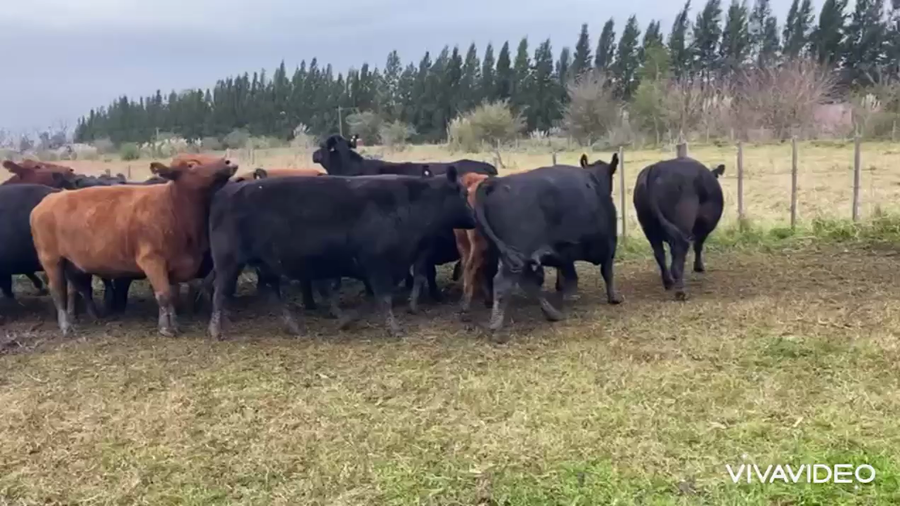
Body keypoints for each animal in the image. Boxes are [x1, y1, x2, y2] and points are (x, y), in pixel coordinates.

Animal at [30, 158, 237, 336]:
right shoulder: (152, 260)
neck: (171, 205)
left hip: (71, 263)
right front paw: (166, 329)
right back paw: (66, 326)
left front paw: (174, 323)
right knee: (58, 291)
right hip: (51, 259)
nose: (228, 162)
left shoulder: (172, 264)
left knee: (75, 289)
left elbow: (172, 295)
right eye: (192, 164)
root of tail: (47, 201)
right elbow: (163, 295)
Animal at [206, 169, 475, 340]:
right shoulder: (378, 265)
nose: (474, 218)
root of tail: (226, 191)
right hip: (229, 262)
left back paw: (294, 327)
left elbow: (374, 299)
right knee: (220, 293)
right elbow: (383, 298)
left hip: (266, 264)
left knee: (271, 292)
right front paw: (394, 329)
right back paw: (216, 331)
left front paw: (347, 319)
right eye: (463, 194)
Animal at [473, 154, 623, 333]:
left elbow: (570, 273)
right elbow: (607, 272)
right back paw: (496, 325)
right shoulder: (609, 245)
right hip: (517, 254)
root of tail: (498, 182)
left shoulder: (565, 253)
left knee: (528, 284)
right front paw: (614, 298)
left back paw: (553, 314)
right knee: (506, 283)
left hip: (509, 254)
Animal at [633, 157, 725, 300]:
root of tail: (656, 168)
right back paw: (681, 292)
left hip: (648, 228)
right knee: (678, 257)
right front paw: (699, 267)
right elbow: (698, 245)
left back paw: (669, 282)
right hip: (682, 225)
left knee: (660, 254)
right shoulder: (704, 225)